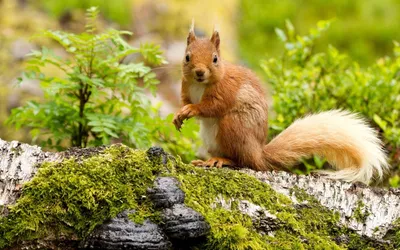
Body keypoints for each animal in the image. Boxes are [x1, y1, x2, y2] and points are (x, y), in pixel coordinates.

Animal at [172, 24, 388, 184]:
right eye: (187, 57)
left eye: (215, 59)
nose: (200, 72)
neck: (200, 85)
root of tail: (258, 153)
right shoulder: (185, 88)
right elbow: (186, 103)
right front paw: (179, 114)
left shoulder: (226, 90)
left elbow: (212, 107)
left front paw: (192, 109)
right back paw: (204, 161)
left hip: (233, 127)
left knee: (242, 162)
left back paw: (221, 160)